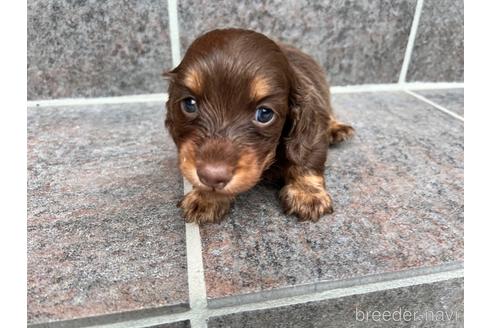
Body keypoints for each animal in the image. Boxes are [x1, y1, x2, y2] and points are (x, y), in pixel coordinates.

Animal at [165, 28, 354, 224]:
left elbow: (307, 157)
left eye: (264, 114)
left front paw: (307, 194)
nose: (211, 176)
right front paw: (207, 197)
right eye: (189, 104)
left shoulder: (314, 129)